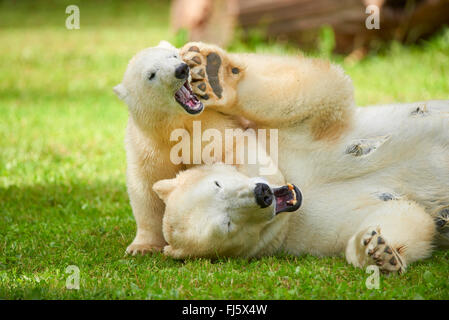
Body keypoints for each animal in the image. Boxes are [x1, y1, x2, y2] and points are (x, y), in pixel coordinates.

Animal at [150, 42, 448, 272]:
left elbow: (317, 94)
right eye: (227, 224)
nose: (262, 194)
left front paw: (212, 73)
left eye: (218, 183)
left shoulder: (279, 140)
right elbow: (405, 214)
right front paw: (377, 251)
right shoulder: (309, 232)